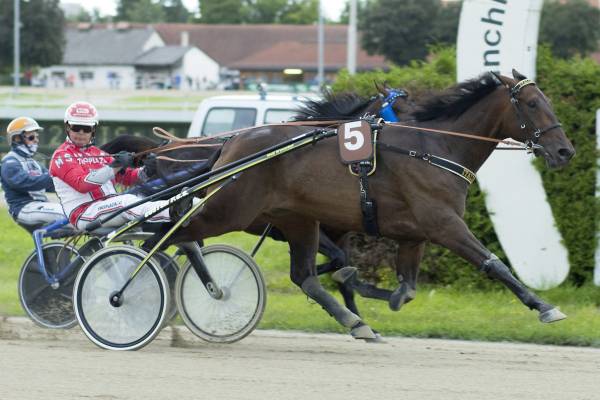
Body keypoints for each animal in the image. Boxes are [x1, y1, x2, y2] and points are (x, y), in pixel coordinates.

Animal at [170, 70, 576, 340]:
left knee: (303, 276)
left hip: (297, 219)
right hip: (231, 209)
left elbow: (405, 289)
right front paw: (545, 307)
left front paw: (375, 298)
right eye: (533, 104)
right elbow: (494, 264)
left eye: (548, 102)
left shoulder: (414, 235)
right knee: (178, 233)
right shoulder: (444, 224)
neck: (435, 148)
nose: (564, 151)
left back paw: (356, 322)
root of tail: (230, 144)